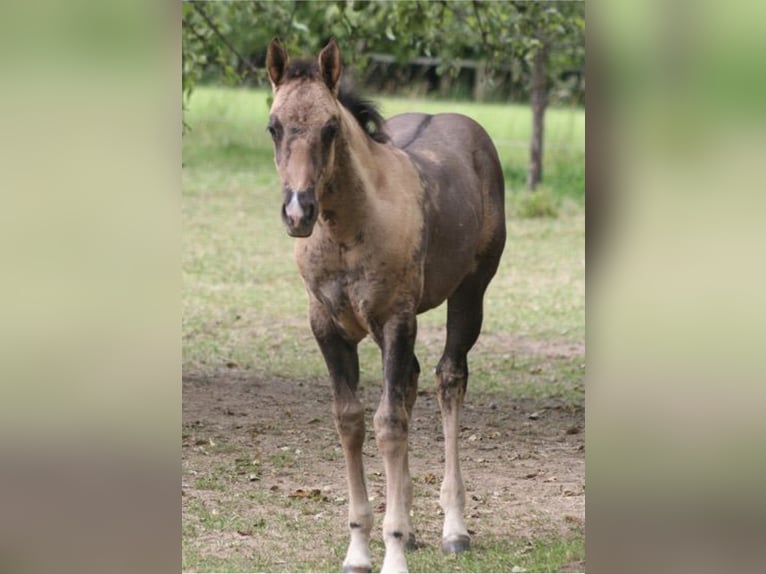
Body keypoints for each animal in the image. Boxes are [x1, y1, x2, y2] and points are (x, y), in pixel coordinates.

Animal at [265, 38, 506, 573]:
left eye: (330, 128)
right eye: (273, 126)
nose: (297, 211)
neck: (346, 231)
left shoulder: (396, 319)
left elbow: (388, 424)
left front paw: (393, 552)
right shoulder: (327, 327)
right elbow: (351, 420)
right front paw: (359, 550)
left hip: (470, 293)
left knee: (448, 378)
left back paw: (453, 528)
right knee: (413, 380)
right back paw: (416, 528)